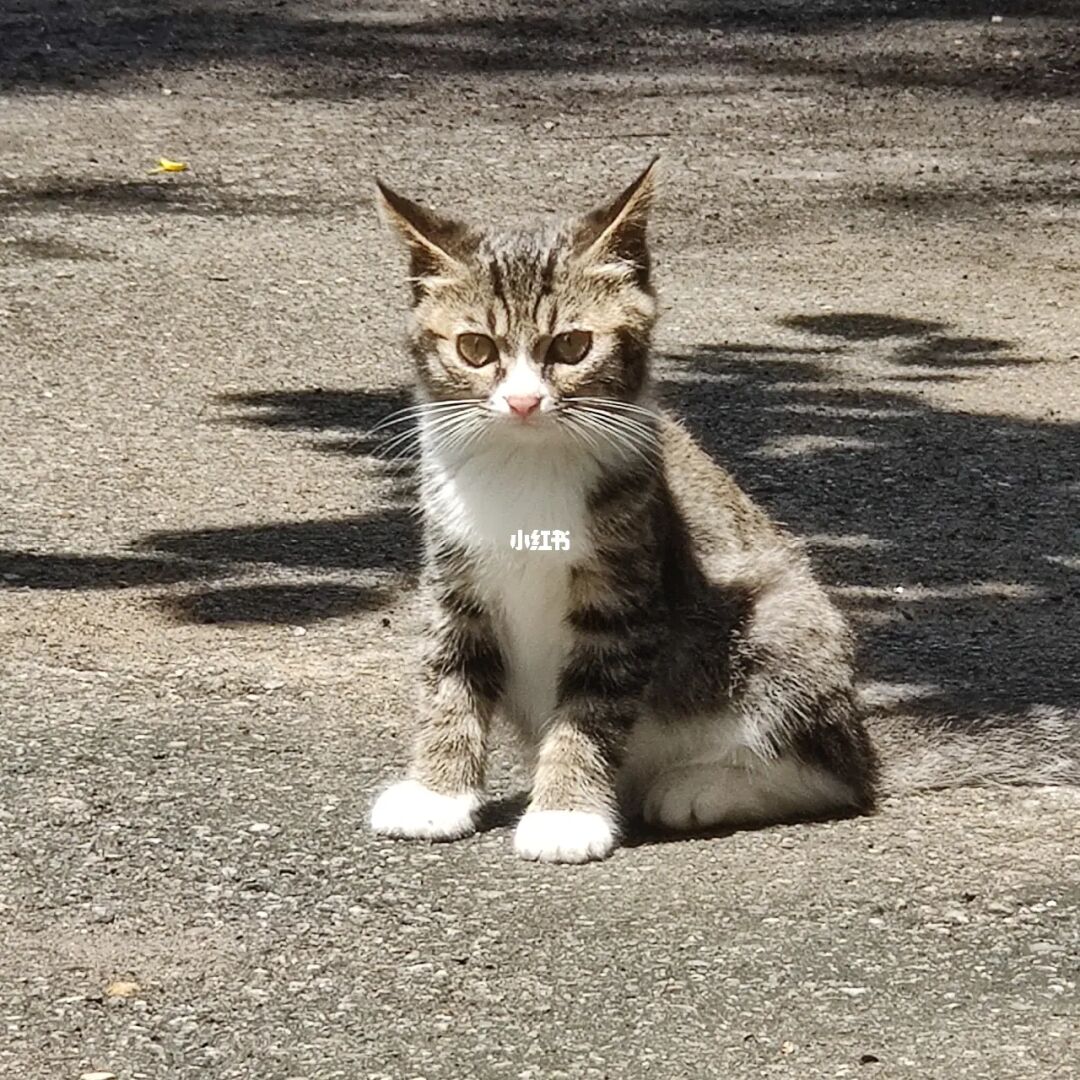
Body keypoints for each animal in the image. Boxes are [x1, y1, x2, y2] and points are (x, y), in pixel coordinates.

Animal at [369, 159, 876, 864]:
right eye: (475, 348)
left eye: (572, 346)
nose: (523, 402)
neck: (526, 466)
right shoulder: (454, 574)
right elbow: (451, 680)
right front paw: (436, 794)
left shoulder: (626, 586)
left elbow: (592, 703)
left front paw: (565, 814)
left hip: (782, 624)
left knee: (839, 772)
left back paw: (702, 788)